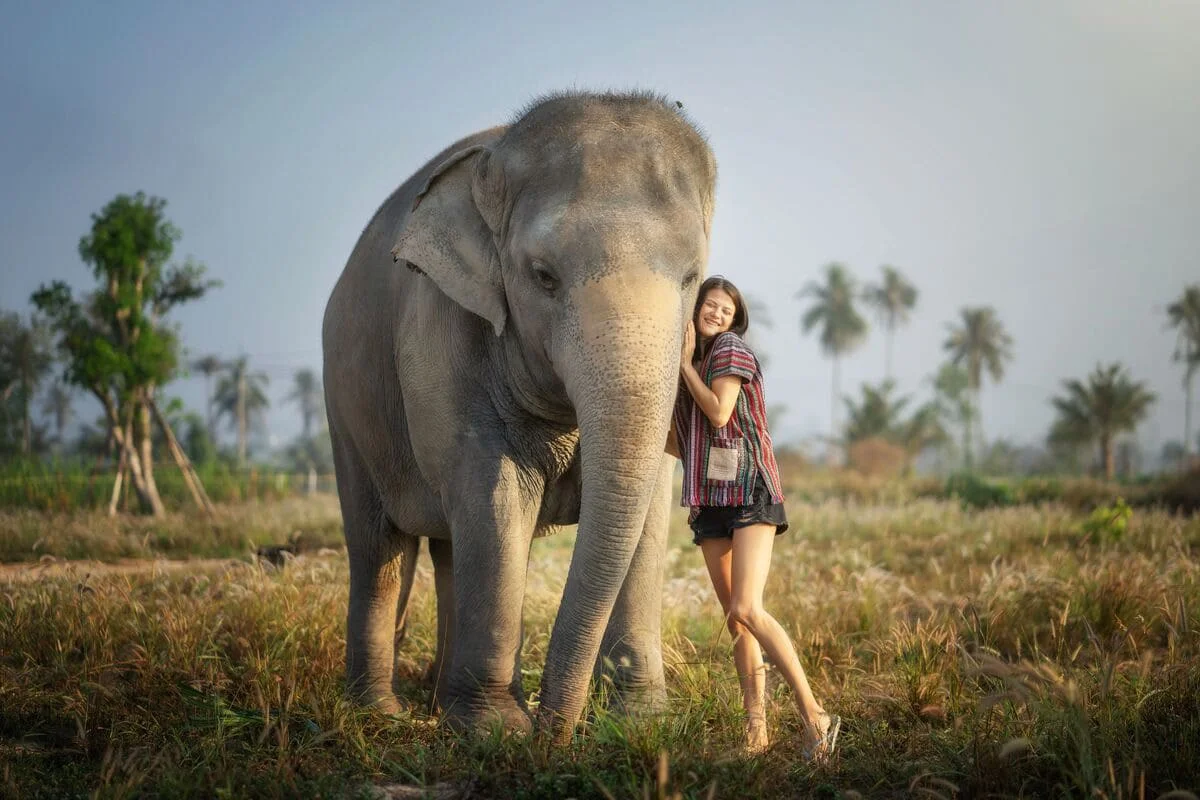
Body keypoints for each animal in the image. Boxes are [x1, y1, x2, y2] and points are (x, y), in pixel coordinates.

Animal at [321, 90, 717, 741]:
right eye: (543, 277)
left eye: (690, 277)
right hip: (345, 407)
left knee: (449, 548)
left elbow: (649, 503)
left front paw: (639, 723)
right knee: (380, 547)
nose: (556, 731)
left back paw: (436, 703)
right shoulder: (446, 332)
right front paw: (495, 732)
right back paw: (380, 713)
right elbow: (494, 492)